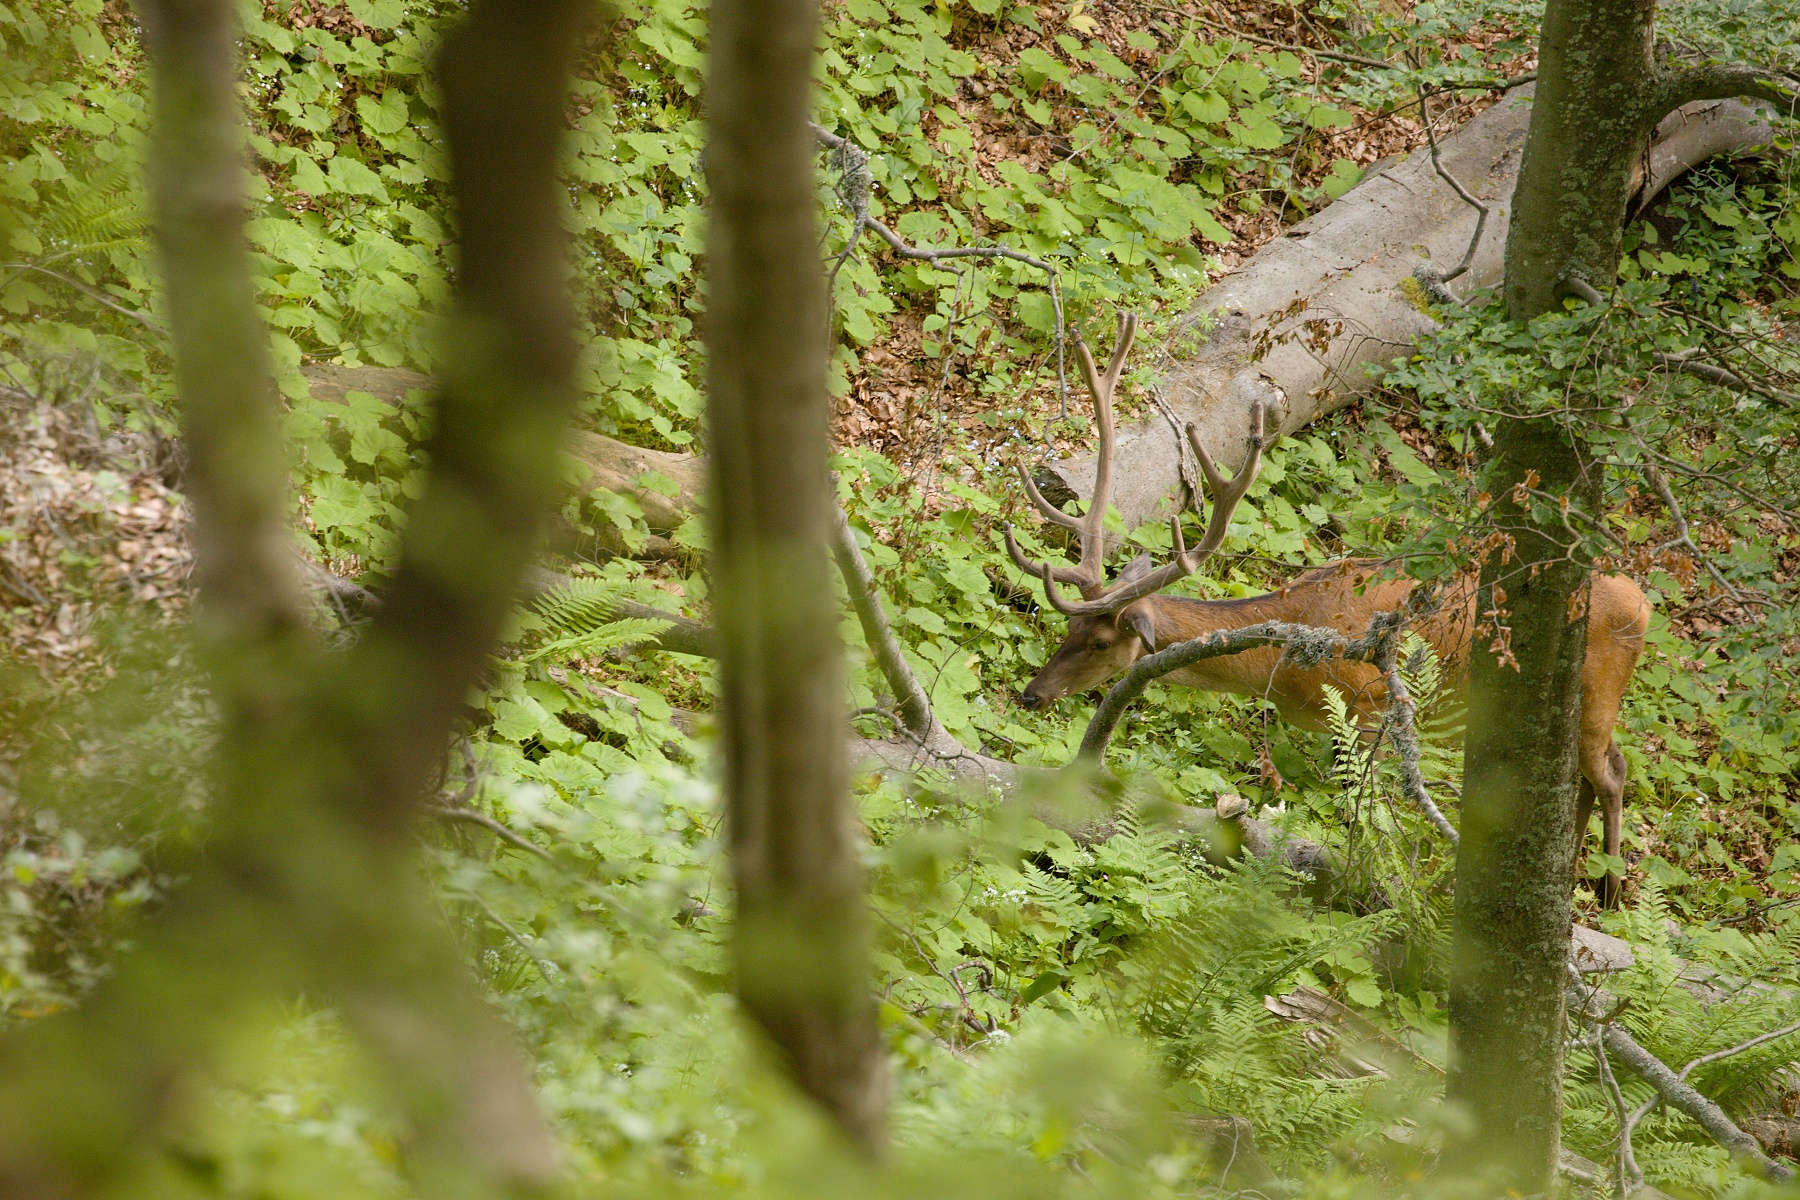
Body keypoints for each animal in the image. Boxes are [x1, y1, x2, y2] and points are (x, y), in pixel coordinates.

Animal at [1008, 314, 1648, 906]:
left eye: (1099, 642)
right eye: (1068, 625)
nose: (1030, 694)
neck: (1286, 668)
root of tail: (1643, 602)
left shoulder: (1370, 703)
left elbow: (1362, 811)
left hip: (1599, 690)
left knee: (1612, 771)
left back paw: (1610, 894)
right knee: (1585, 780)